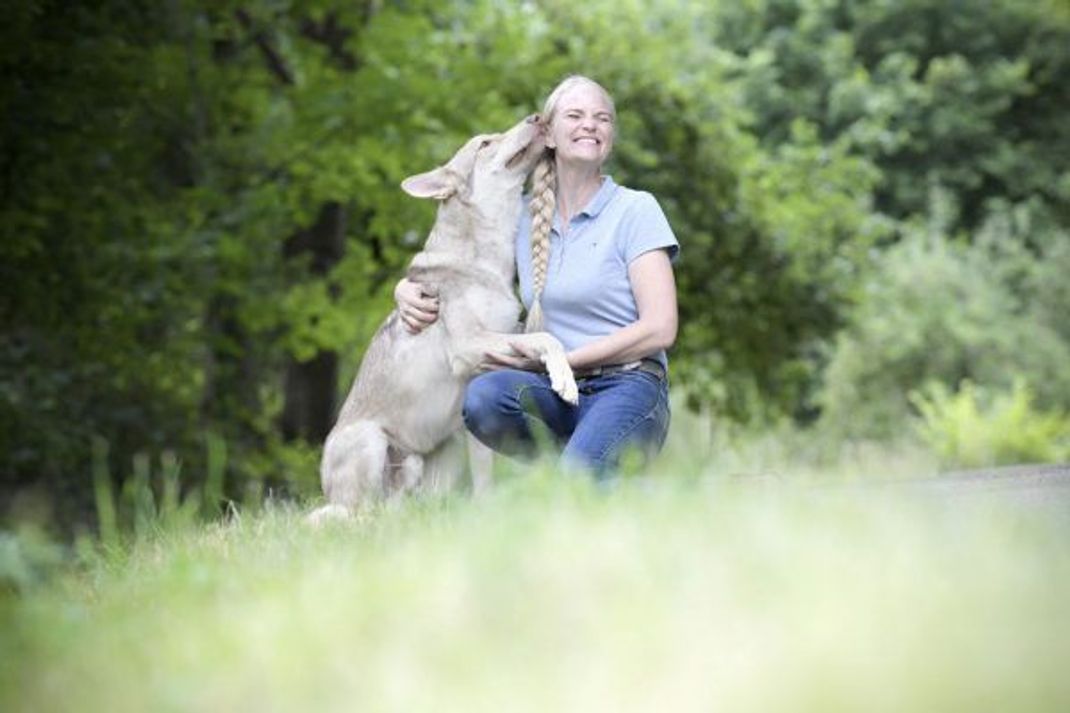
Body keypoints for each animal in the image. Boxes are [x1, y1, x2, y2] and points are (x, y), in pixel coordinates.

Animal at [308, 114, 577, 520]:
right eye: (484, 143)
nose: (535, 117)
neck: (486, 263)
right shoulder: (471, 345)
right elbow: (546, 339)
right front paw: (566, 381)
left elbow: (484, 476)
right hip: (371, 444)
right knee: (353, 516)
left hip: (440, 455)